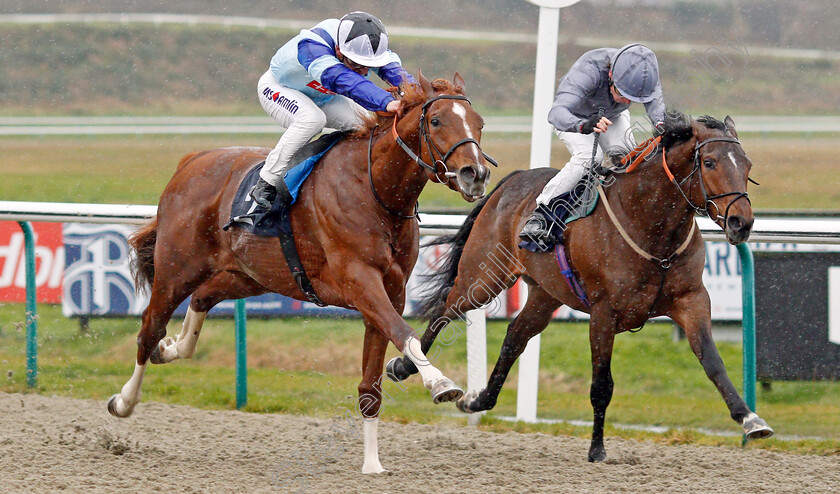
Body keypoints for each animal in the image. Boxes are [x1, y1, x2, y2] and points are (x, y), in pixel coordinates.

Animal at [108, 72, 496, 470]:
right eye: (436, 121)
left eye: (479, 123)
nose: (476, 174)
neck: (374, 189)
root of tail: (190, 161)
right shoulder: (359, 280)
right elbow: (405, 333)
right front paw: (440, 383)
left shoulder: (392, 290)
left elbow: (371, 383)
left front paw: (372, 464)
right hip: (177, 268)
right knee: (149, 328)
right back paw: (124, 400)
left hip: (247, 275)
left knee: (201, 299)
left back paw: (171, 348)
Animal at [388, 113, 776, 464]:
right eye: (709, 162)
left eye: (747, 164)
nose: (741, 222)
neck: (650, 224)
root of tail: (510, 182)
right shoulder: (604, 313)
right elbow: (602, 385)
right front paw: (597, 449)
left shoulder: (691, 300)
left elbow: (713, 362)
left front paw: (750, 419)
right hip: (484, 277)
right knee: (445, 310)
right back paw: (407, 367)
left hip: (546, 294)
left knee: (515, 335)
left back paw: (478, 399)